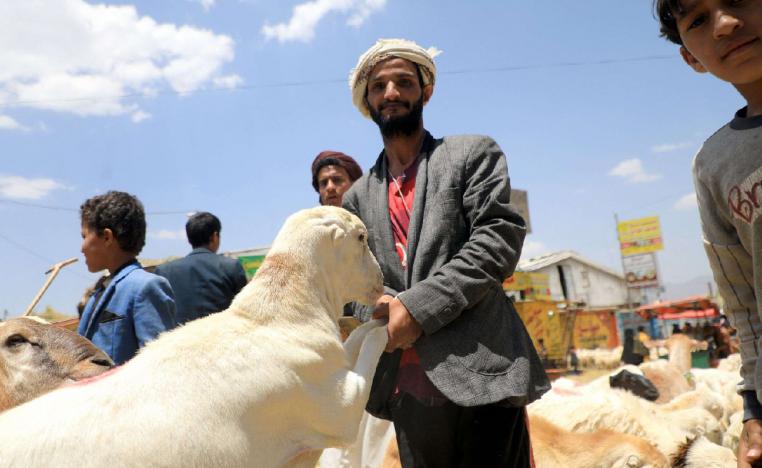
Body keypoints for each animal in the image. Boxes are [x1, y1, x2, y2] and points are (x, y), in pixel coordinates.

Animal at [0, 207, 386, 468]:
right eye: (362, 237)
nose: (383, 278)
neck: (277, 313)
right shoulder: (341, 407)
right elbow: (369, 343)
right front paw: (387, 318)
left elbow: (355, 340)